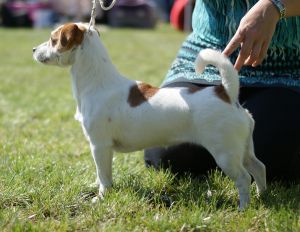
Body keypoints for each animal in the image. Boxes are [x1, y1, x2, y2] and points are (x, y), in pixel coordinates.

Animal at [33, 22, 268, 209]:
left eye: (53, 40)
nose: (34, 49)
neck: (98, 81)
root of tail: (227, 94)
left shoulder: (100, 146)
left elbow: (104, 175)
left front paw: (101, 197)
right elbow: (101, 175)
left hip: (225, 153)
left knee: (244, 178)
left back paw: (243, 207)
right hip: (243, 149)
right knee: (258, 167)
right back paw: (262, 197)